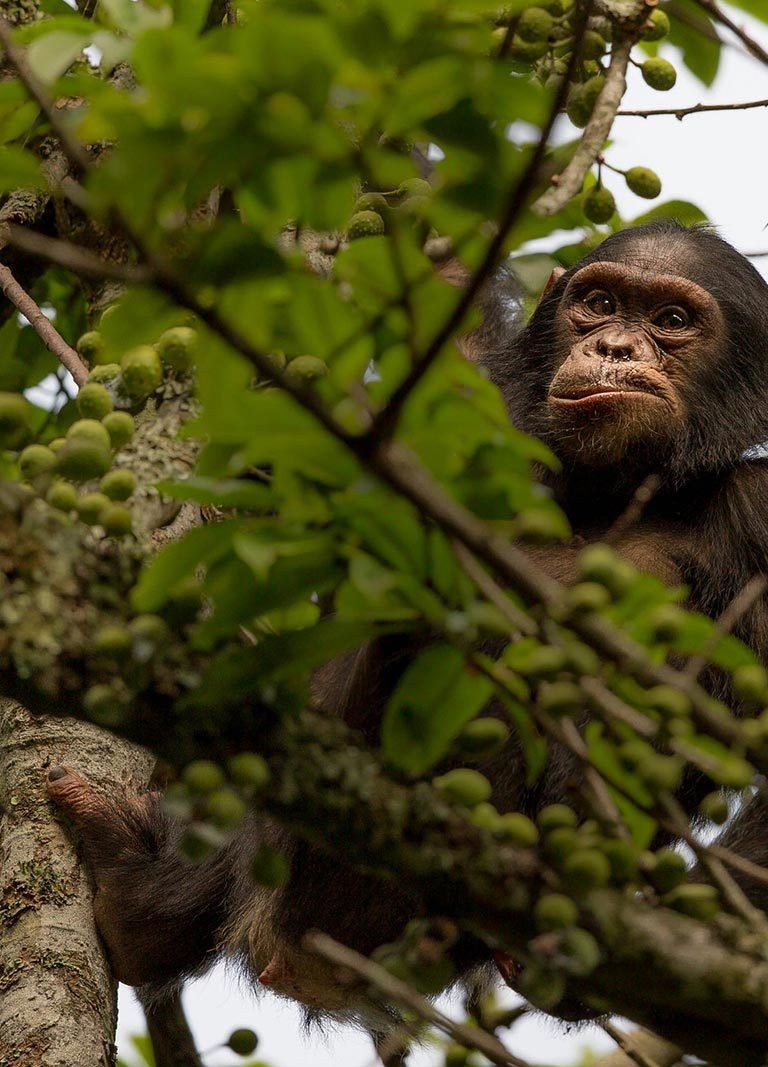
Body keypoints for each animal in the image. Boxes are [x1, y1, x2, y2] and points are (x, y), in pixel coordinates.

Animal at [46, 219, 768, 1028]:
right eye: (602, 303)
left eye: (672, 320)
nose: (613, 347)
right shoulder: (467, 393)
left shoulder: (762, 512)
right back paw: (139, 892)